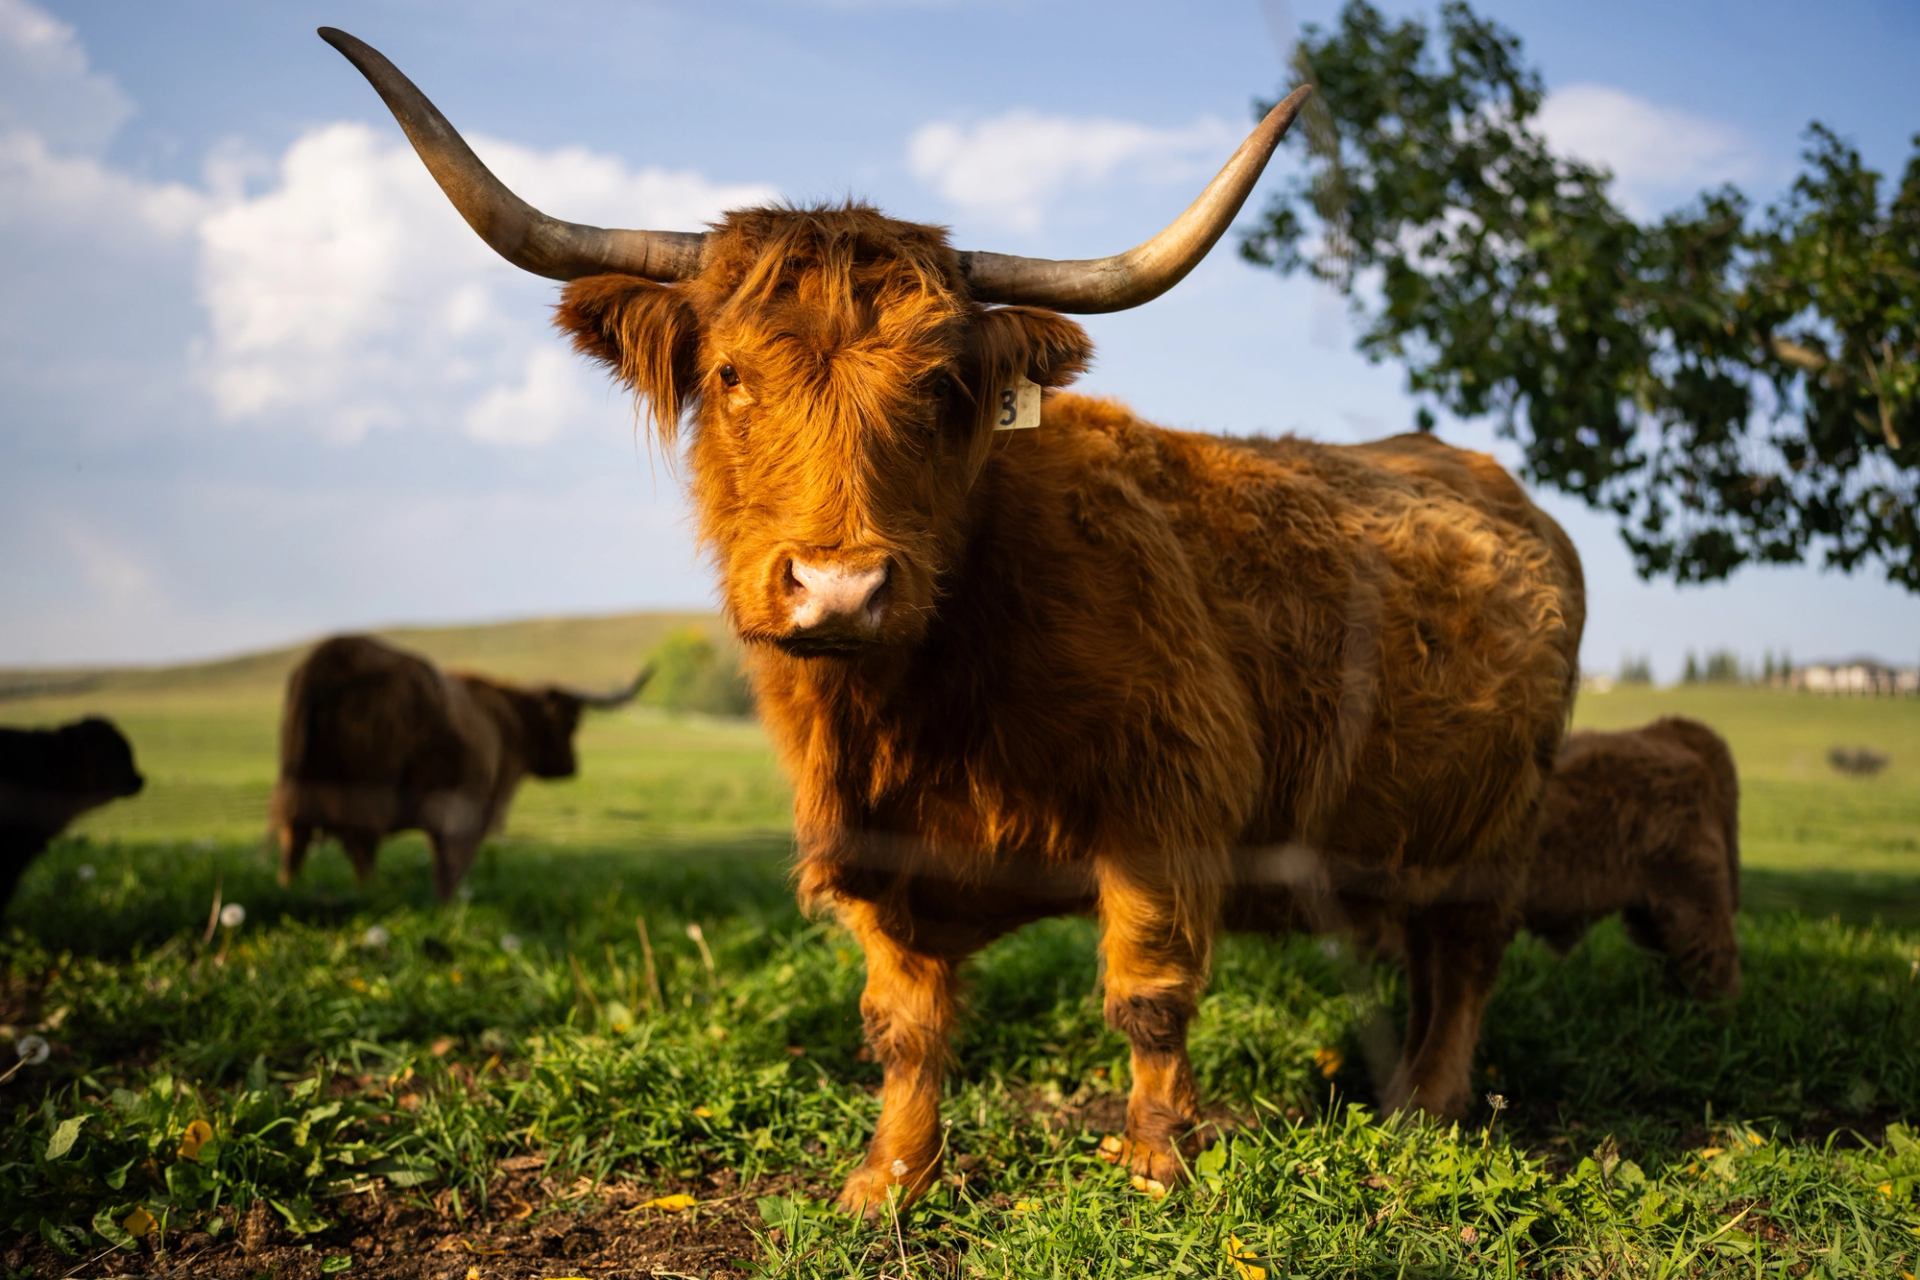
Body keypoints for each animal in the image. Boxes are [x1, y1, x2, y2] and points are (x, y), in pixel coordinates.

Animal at [270, 634, 649, 901]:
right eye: (571, 722)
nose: (572, 765)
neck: (506, 721)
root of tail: (334, 652)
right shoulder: (470, 808)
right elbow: (450, 868)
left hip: (296, 790)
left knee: (294, 846)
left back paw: (290, 892)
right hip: (367, 793)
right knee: (362, 848)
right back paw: (370, 896)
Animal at [322, 30, 1585, 1212]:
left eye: (937, 388)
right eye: (728, 374)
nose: (838, 586)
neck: (922, 705)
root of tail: (1490, 481)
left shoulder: (1171, 801)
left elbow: (1148, 995)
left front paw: (1152, 1163)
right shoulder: (877, 853)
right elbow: (907, 1021)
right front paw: (890, 1177)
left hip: (1503, 821)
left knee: (1467, 956)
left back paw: (1428, 1105)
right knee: (1425, 947)